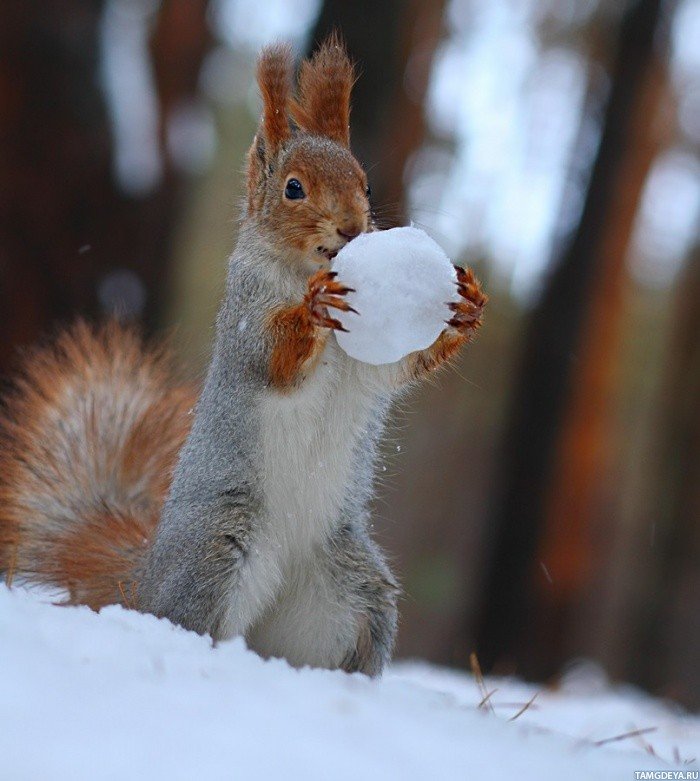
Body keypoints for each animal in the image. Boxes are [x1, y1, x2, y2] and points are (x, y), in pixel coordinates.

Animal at [0, 36, 486, 676]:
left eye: (366, 185)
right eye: (294, 188)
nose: (354, 228)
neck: (302, 269)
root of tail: (144, 579)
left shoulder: (369, 363)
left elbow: (398, 367)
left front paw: (467, 307)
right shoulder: (244, 317)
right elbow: (272, 359)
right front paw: (312, 310)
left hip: (352, 590)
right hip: (218, 555)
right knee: (189, 615)